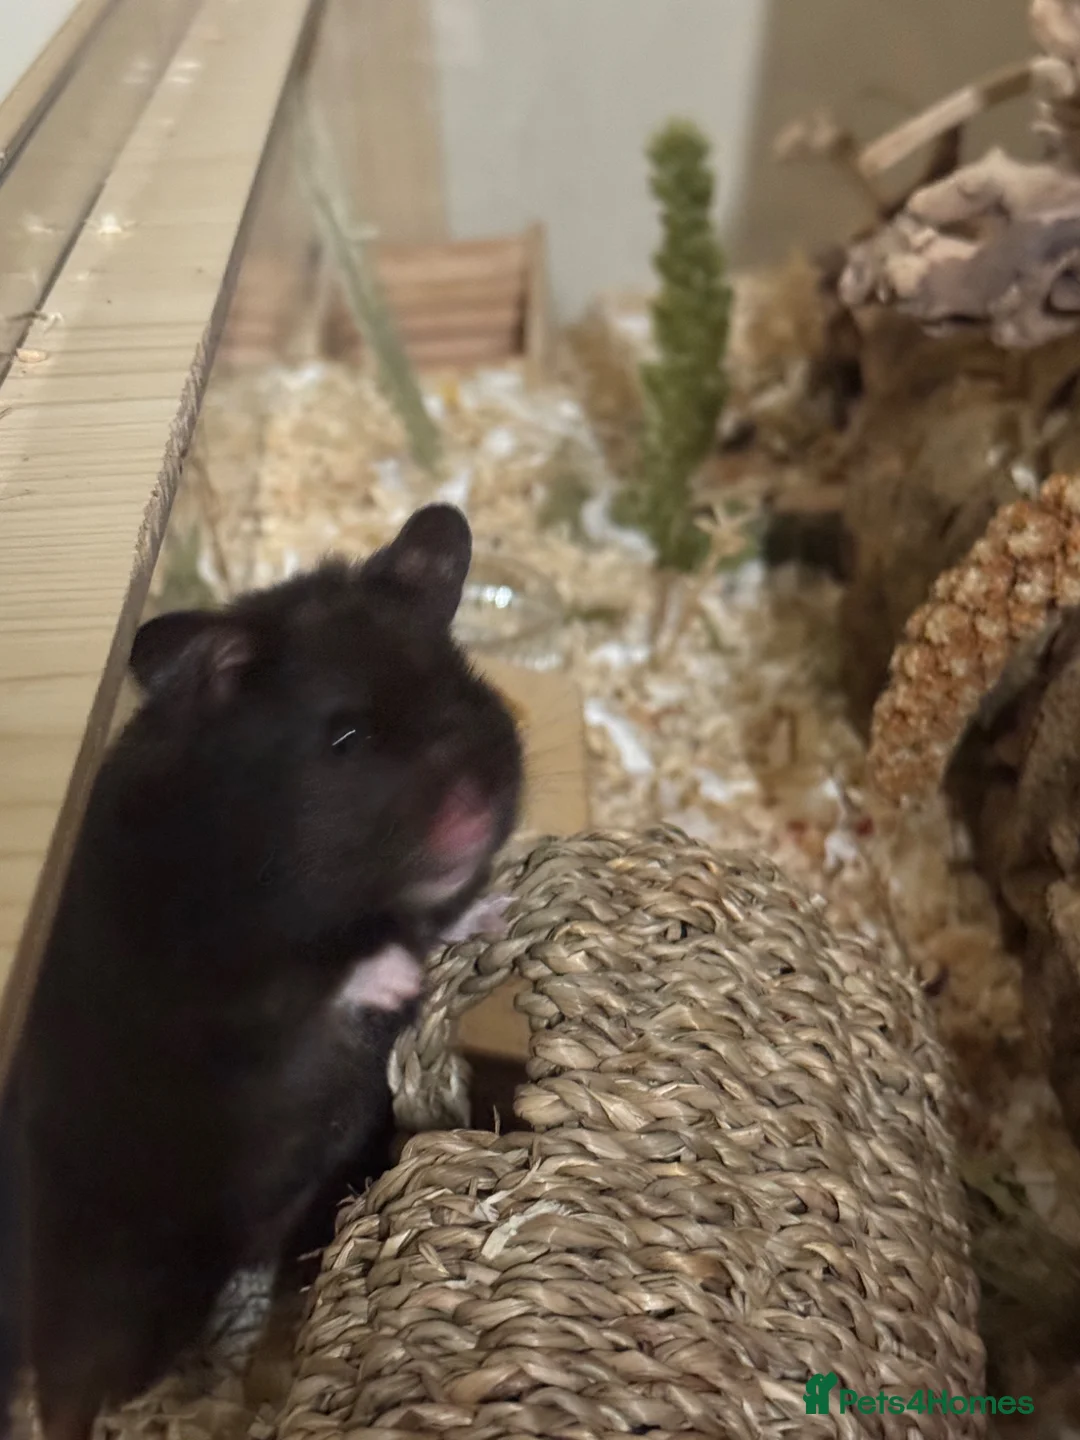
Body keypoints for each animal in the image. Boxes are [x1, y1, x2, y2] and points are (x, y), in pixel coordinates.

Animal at [5, 504, 523, 1440]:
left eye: (464, 685)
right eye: (345, 737)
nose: (472, 813)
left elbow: (435, 920)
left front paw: (489, 910)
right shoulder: (203, 983)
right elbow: (299, 987)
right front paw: (394, 976)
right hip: (112, 1281)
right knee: (74, 1388)